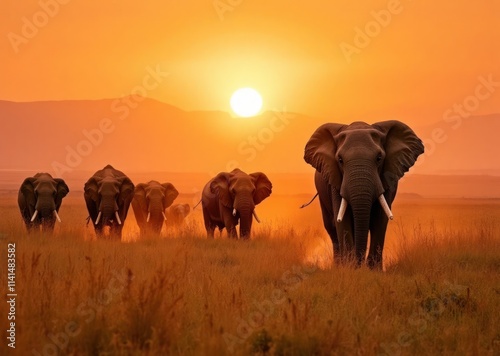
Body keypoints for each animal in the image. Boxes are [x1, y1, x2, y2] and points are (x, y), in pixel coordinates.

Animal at [302, 121, 424, 268]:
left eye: (379, 158)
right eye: (340, 160)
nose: (359, 265)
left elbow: (380, 219)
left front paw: (373, 270)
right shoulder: (335, 180)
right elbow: (342, 220)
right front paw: (350, 268)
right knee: (331, 228)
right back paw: (338, 265)